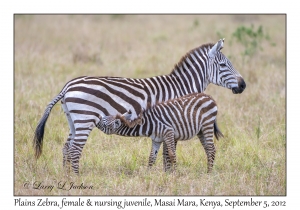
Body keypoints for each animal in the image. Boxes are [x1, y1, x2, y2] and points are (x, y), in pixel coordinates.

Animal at [34, 38, 246, 174]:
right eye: (224, 65)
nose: (243, 85)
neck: (180, 87)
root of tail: (67, 86)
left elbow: (164, 152)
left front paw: (165, 175)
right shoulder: (174, 118)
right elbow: (168, 153)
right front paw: (169, 175)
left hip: (73, 120)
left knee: (66, 147)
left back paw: (67, 176)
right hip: (85, 118)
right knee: (75, 149)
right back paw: (77, 178)